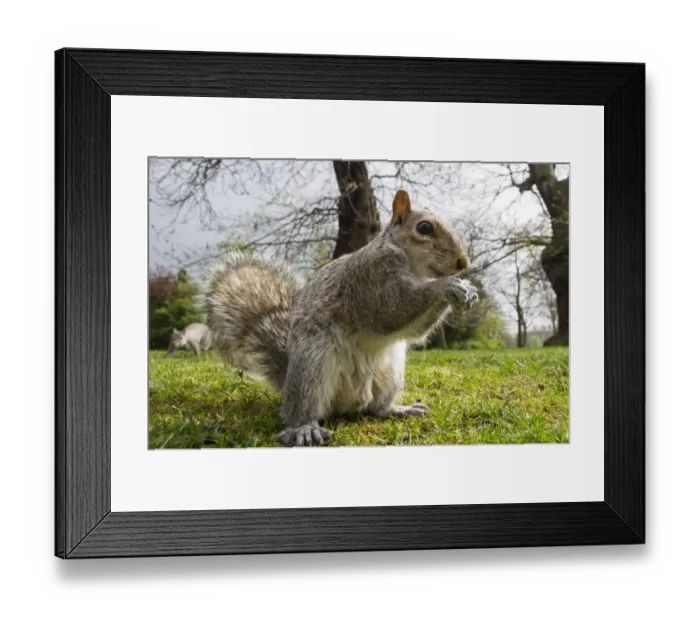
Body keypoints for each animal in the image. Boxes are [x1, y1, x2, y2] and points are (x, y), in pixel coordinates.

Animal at [201, 189, 478, 447]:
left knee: (377, 409)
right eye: (424, 227)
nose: (463, 262)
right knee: (301, 409)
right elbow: (392, 309)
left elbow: (414, 330)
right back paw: (304, 428)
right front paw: (445, 286)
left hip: (391, 371)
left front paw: (469, 290)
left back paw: (399, 409)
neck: (413, 266)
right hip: (312, 364)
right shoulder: (370, 280)